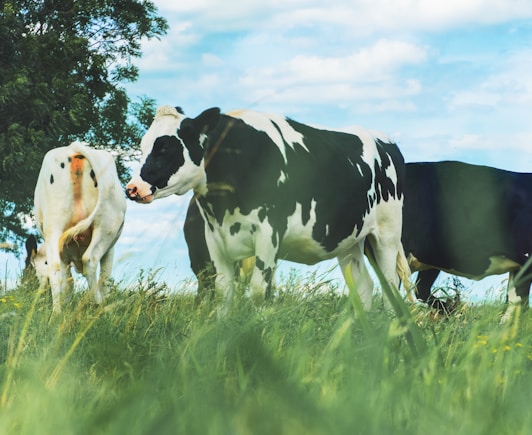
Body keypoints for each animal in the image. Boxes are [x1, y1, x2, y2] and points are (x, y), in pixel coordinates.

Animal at [34, 141, 128, 312]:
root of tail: (74, 148)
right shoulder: (110, 248)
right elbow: (105, 277)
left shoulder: (64, 254)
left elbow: (68, 281)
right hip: (107, 225)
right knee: (91, 259)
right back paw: (98, 304)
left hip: (54, 227)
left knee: (55, 268)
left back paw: (56, 312)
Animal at [127, 107, 410, 314]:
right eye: (142, 146)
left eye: (165, 147)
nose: (132, 188)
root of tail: (385, 141)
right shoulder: (215, 239)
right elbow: (223, 292)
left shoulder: (269, 233)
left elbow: (259, 290)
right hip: (349, 240)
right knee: (363, 285)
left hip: (387, 234)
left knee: (390, 286)